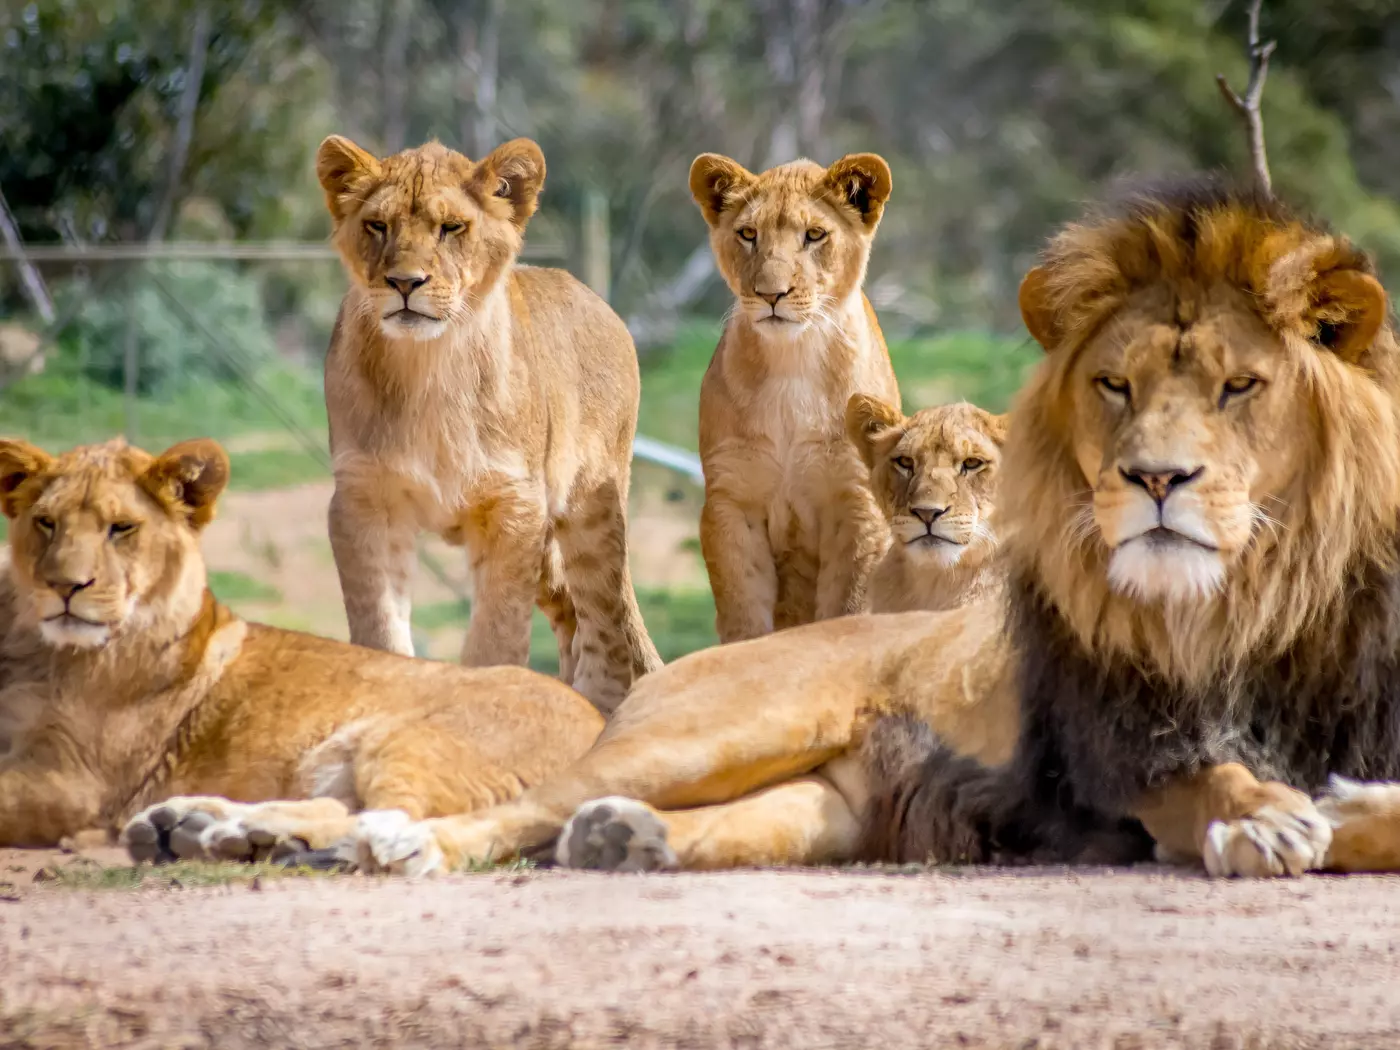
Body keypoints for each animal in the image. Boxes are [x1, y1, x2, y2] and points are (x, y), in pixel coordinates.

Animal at [0, 436, 602, 855]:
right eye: (45, 523)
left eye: (121, 528)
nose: (65, 586)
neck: (41, 653)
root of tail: (600, 722)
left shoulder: (73, 781)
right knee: (340, 807)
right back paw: (200, 826)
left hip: (409, 741)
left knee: (390, 818)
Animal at [317, 135, 659, 713]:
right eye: (377, 226)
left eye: (451, 228)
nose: (404, 283)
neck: (427, 368)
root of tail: (601, 303)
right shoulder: (363, 500)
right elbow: (380, 627)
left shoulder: (514, 505)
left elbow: (495, 637)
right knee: (571, 615)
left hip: (590, 508)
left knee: (605, 624)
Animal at [690, 152, 901, 643]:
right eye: (749, 234)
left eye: (815, 235)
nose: (771, 294)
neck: (792, 360)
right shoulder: (732, 501)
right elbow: (744, 614)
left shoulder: (857, 503)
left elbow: (847, 610)